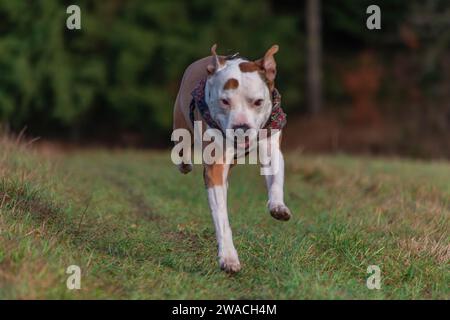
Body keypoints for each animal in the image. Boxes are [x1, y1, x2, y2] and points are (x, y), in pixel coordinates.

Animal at [172, 44, 292, 272]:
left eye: (258, 102)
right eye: (225, 101)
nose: (241, 127)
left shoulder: (270, 146)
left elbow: (275, 179)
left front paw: (278, 206)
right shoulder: (215, 165)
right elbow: (221, 215)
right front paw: (228, 257)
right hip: (181, 122)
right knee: (182, 148)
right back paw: (185, 164)